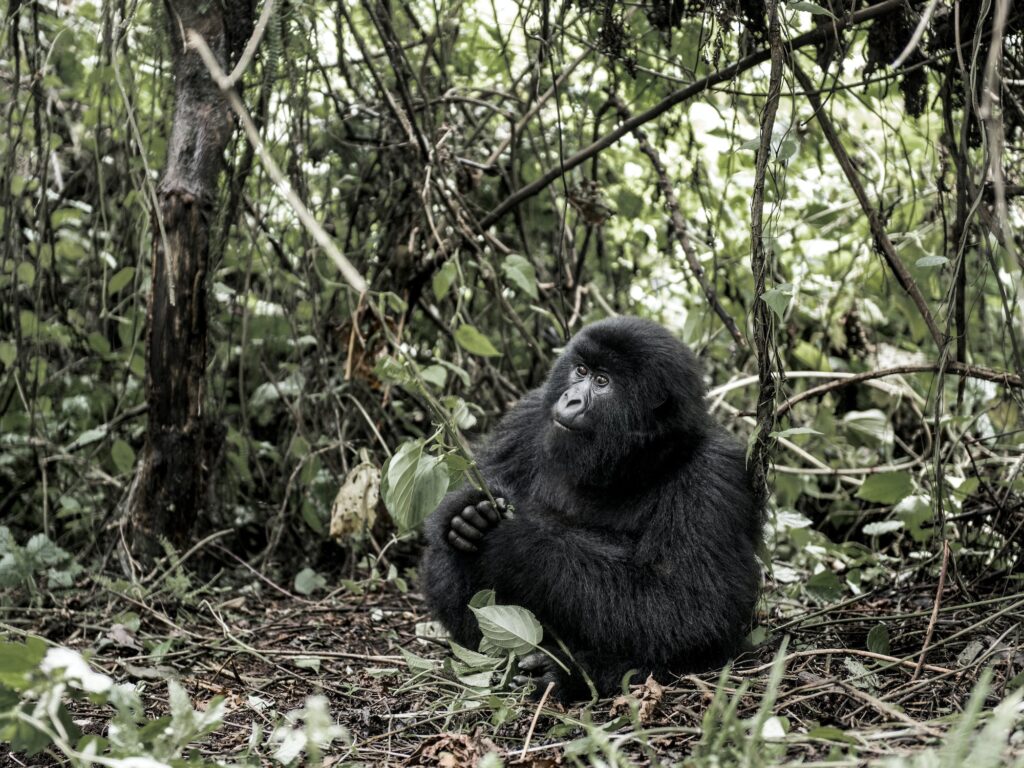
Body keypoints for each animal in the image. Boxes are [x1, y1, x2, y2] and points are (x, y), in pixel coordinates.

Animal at [419, 315, 765, 700]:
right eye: (580, 370)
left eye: (602, 382)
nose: (570, 399)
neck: (637, 461)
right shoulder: (526, 416)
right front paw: (467, 512)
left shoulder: (713, 474)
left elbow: (693, 610)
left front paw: (516, 542)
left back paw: (568, 670)